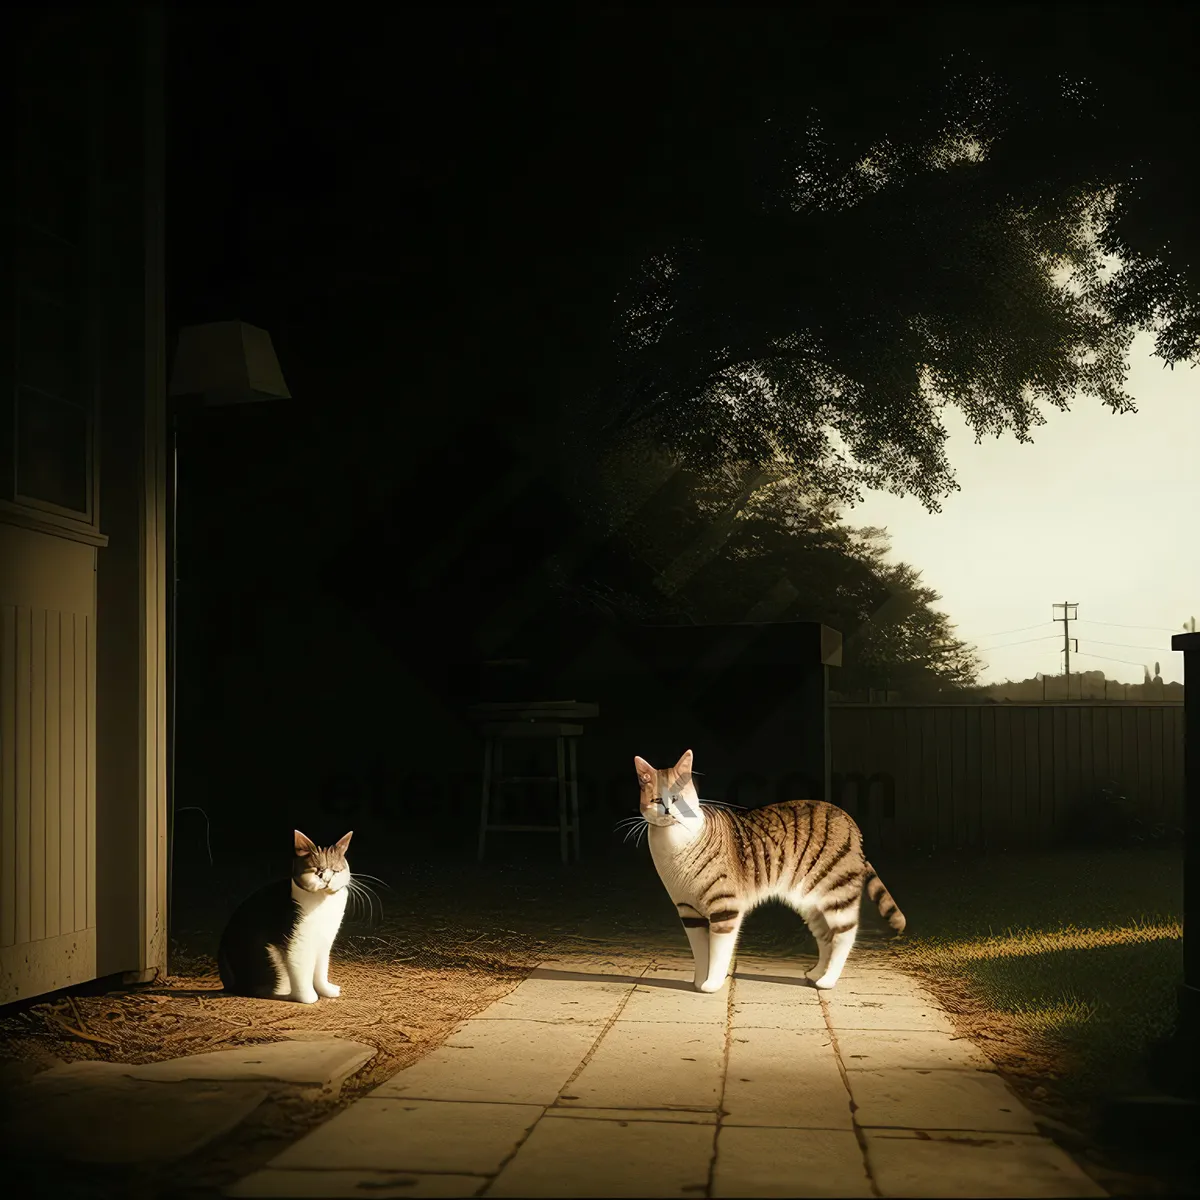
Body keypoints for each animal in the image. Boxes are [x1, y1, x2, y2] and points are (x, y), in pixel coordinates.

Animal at [218, 825, 352, 1003]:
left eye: (336, 871)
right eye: (317, 871)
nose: (326, 880)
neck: (323, 903)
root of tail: (230, 984)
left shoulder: (324, 942)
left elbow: (321, 971)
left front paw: (327, 990)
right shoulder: (297, 943)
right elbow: (302, 973)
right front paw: (309, 998)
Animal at [638, 748, 902, 993]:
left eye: (677, 798)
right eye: (657, 800)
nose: (668, 811)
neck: (675, 842)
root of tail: (851, 823)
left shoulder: (725, 908)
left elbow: (719, 952)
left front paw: (712, 984)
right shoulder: (688, 912)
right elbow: (701, 953)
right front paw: (698, 982)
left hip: (836, 894)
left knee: (845, 936)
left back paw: (828, 980)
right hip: (811, 904)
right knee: (826, 937)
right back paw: (816, 974)